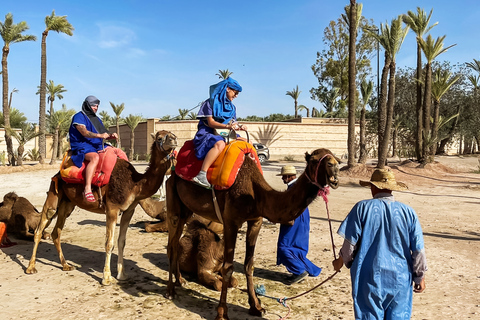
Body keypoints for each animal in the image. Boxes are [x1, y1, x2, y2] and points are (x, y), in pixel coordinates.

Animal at [25, 130, 178, 284]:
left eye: (171, 133)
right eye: (159, 138)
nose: (174, 139)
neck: (135, 184)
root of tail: (59, 172)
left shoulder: (129, 210)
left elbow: (121, 241)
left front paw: (122, 274)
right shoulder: (112, 209)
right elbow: (109, 243)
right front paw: (107, 278)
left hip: (67, 203)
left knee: (56, 232)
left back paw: (66, 265)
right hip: (54, 194)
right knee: (41, 226)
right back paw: (31, 268)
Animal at [167, 148, 340, 320]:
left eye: (335, 158)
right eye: (314, 160)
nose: (335, 168)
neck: (256, 194)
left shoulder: (256, 221)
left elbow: (249, 264)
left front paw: (256, 307)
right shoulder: (230, 222)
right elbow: (228, 267)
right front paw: (222, 313)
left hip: (186, 210)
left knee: (175, 241)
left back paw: (180, 281)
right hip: (173, 203)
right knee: (172, 244)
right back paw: (171, 291)